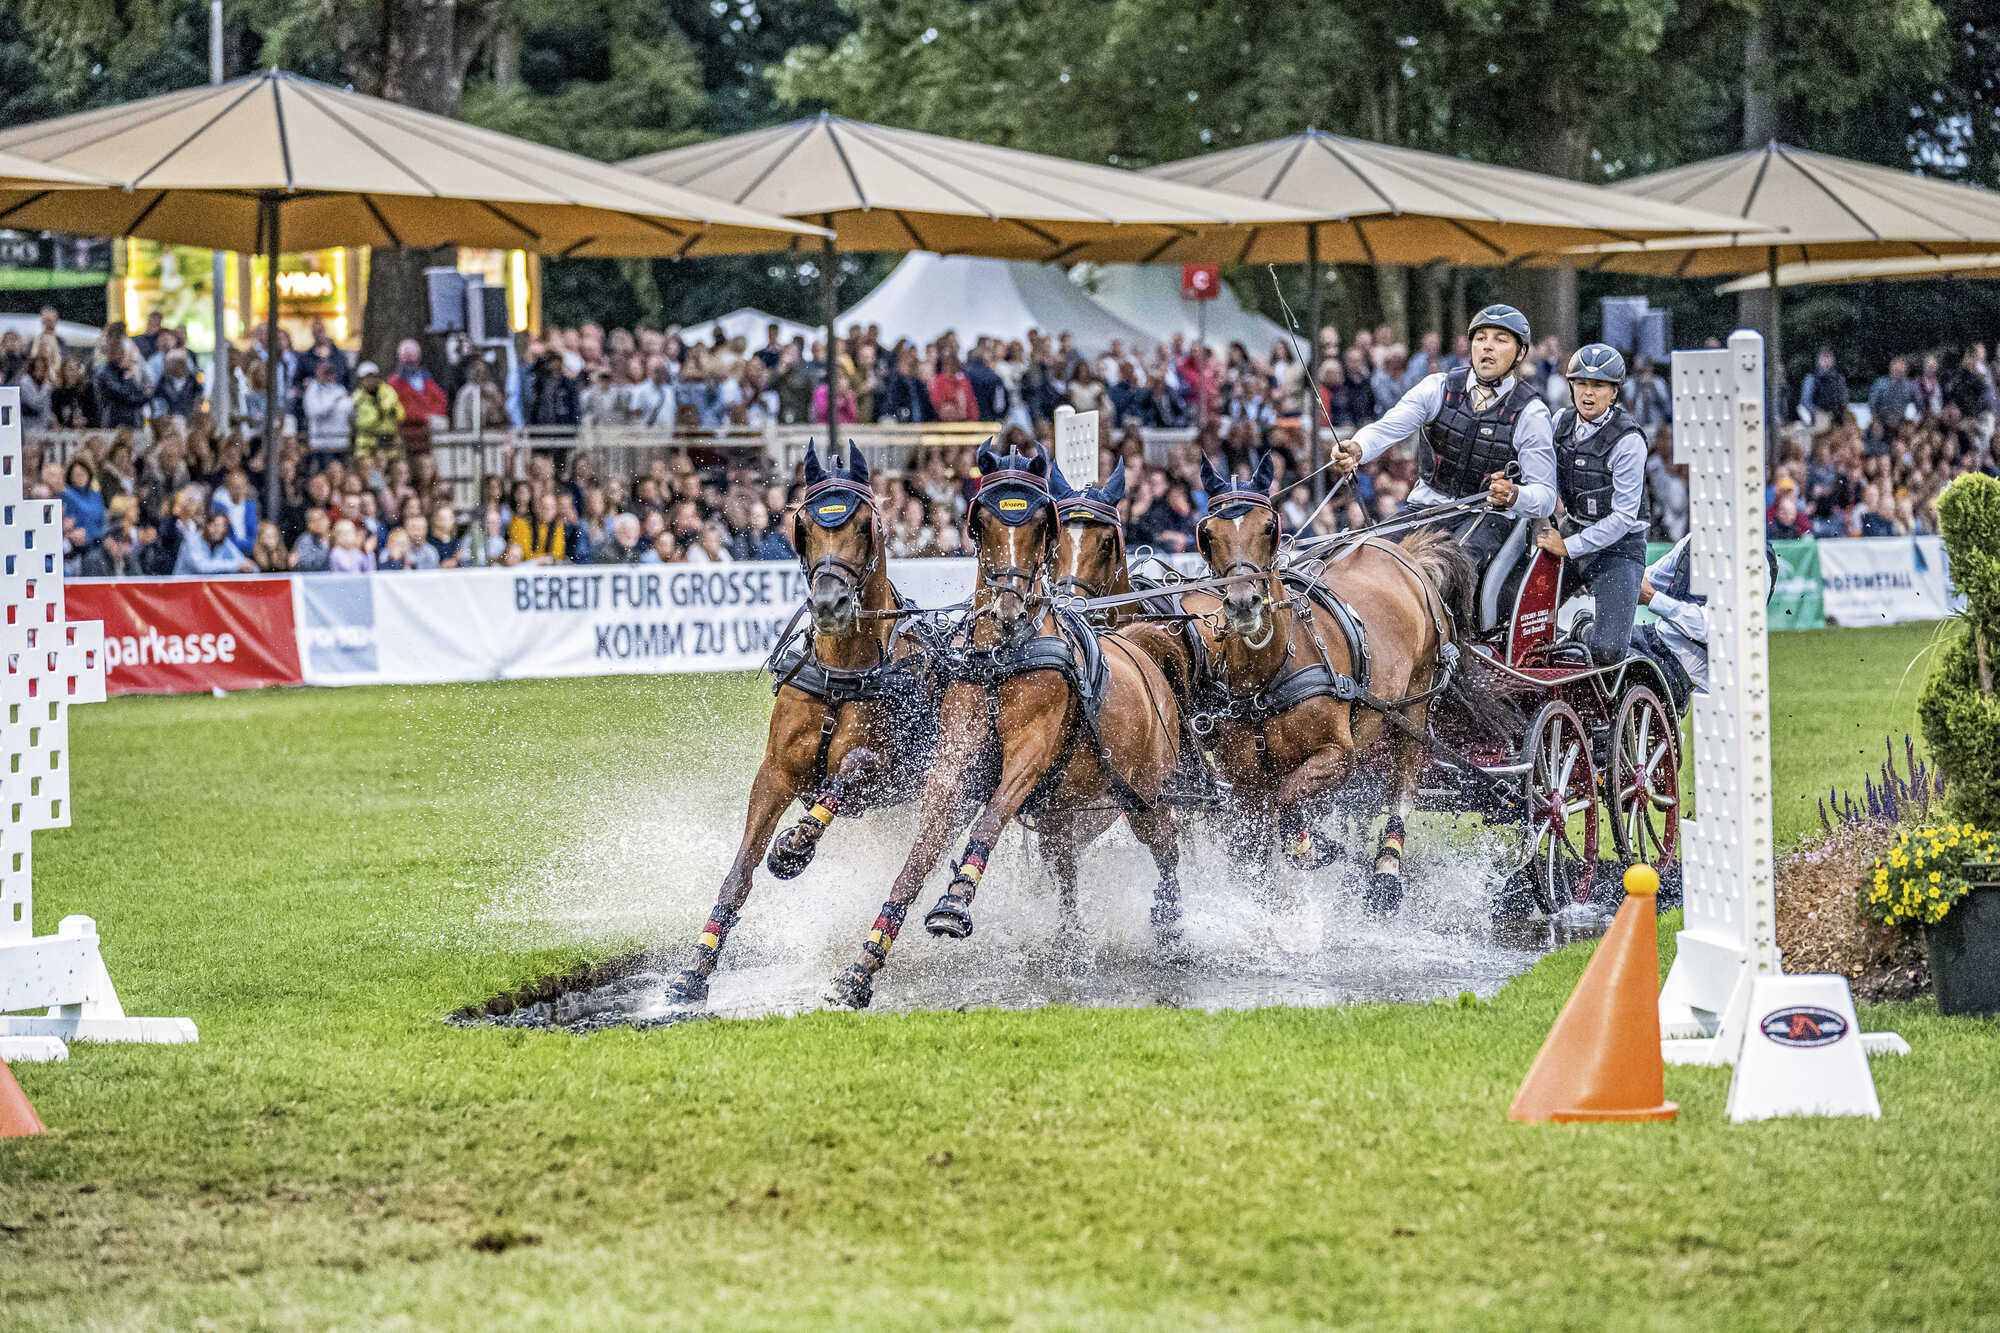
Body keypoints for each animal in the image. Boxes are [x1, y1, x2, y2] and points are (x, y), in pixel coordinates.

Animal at [660, 440, 932, 1000]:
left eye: (865, 524)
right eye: (802, 524)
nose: (829, 604)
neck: (841, 674)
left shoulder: (883, 777)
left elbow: (849, 772)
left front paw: (794, 846)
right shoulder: (776, 773)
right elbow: (741, 870)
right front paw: (696, 967)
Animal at [824, 446, 1184, 1008]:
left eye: (1039, 523)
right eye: (984, 521)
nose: (1008, 607)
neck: (1000, 660)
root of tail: (1141, 647)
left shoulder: (1029, 755)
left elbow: (990, 819)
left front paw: (955, 903)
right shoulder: (952, 767)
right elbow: (916, 861)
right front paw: (864, 966)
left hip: (1146, 795)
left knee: (1167, 848)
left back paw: (1170, 926)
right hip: (1064, 813)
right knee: (1066, 869)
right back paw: (1070, 943)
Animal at [1176, 452, 1480, 908]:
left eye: (1270, 527)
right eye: (1207, 534)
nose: (1243, 604)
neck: (1269, 680)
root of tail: (1402, 551)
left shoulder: (1337, 756)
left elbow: (1288, 798)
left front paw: (1311, 846)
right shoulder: (1244, 780)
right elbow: (1251, 850)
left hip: (1414, 706)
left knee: (1404, 782)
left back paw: (1387, 870)